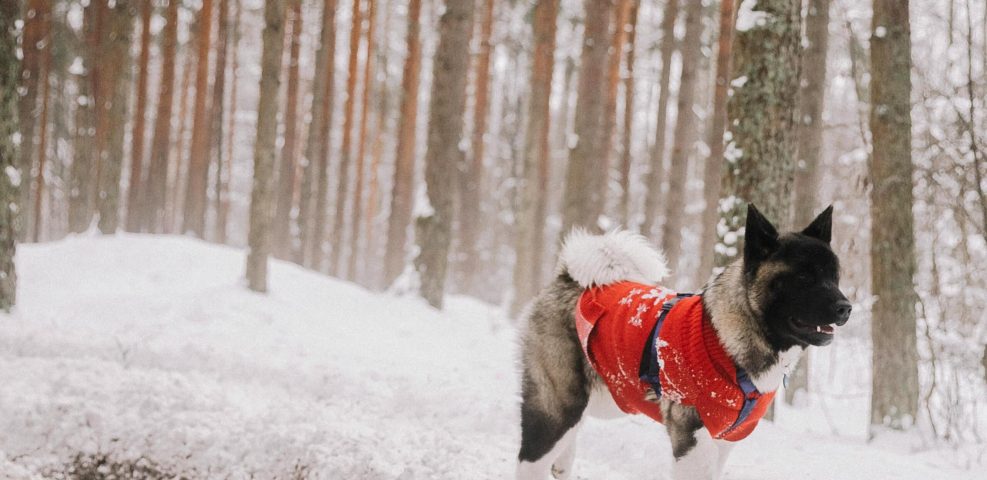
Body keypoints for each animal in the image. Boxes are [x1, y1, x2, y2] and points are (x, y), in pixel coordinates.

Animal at [516, 203, 848, 480]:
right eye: (803, 277)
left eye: (834, 277)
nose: (846, 308)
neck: (729, 337)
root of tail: (569, 279)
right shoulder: (693, 443)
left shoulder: (723, 441)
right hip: (557, 406)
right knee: (532, 459)